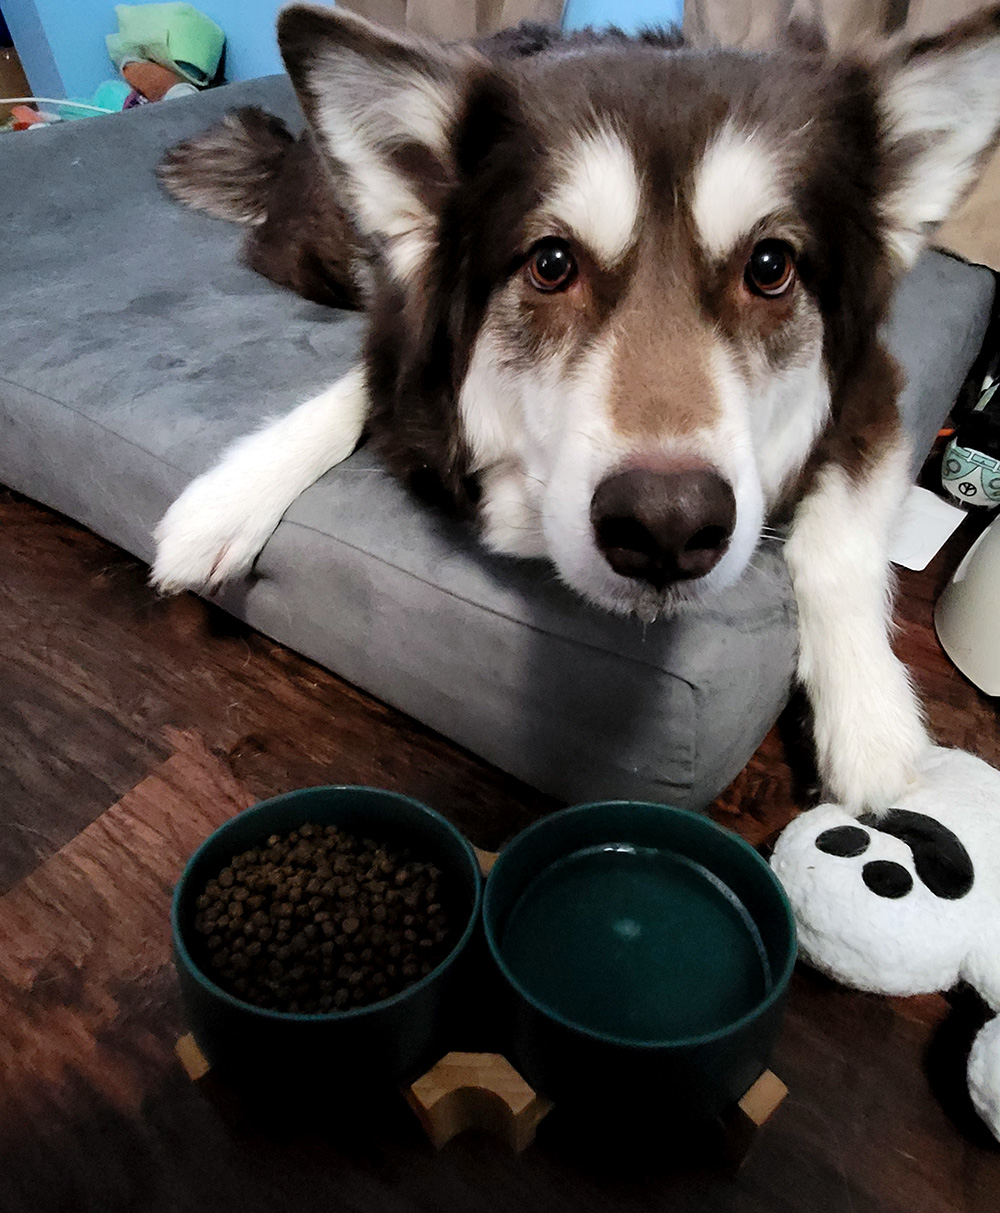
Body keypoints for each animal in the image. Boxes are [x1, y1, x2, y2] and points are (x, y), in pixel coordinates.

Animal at [152, 4, 1000, 815]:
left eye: (770, 267)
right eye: (552, 263)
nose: (665, 527)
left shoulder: (873, 380)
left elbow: (837, 539)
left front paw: (868, 716)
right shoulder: (401, 329)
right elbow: (358, 385)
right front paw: (228, 501)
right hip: (322, 259)